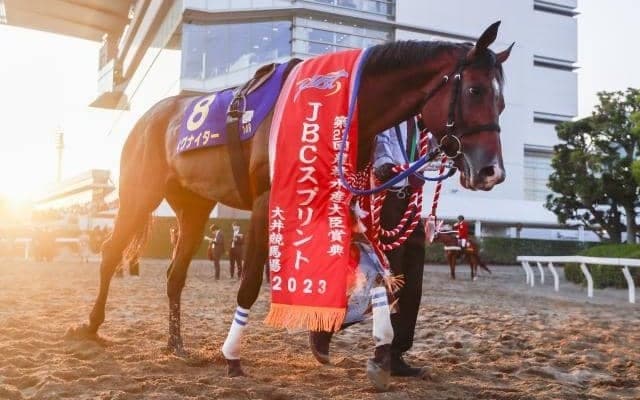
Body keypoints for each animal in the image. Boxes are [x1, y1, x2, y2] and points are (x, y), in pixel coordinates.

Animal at [71, 21, 512, 385]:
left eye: (502, 102)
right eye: (474, 90)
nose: (491, 171)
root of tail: (151, 117)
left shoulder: (339, 203)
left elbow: (374, 273)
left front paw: (378, 349)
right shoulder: (266, 203)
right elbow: (251, 282)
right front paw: (232, 354)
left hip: (193, 208)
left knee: (174, 275)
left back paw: (176, 345)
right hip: (139, 194)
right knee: (111, 252)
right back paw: (91, 325)